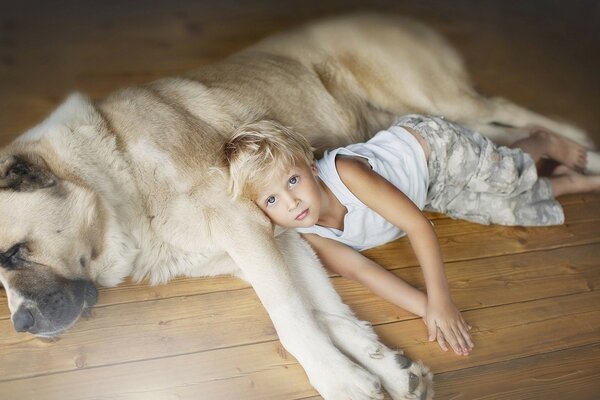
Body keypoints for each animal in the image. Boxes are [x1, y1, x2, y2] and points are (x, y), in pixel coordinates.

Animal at [0, 14, 596, 398]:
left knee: (509, 107)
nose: (22, 326)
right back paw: (567, 162)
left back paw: (587, 148)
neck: (112, 173)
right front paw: (386, 368)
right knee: (516, 136)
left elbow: (289, 315)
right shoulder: (276, 239)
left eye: (11, 254)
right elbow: (321, 310)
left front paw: (341, 381)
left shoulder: (246, 227)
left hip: (438, 99)